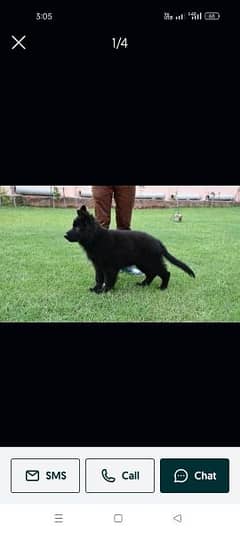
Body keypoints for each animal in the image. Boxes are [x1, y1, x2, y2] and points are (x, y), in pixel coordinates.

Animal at [64, 206, 195, 294]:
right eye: (73, 226)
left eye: (77, 228)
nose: (65, 235)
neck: (96, 238)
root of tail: (158, 242)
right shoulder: (98, 266)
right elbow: (99, 279)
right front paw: (96, 289)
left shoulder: (110, 267)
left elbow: (108, 280)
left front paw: (105, 290)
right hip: (143, 263)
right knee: (151, 274)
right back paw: (143, 284)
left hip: (151, 262)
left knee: (165, 273)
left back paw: (163, 287)